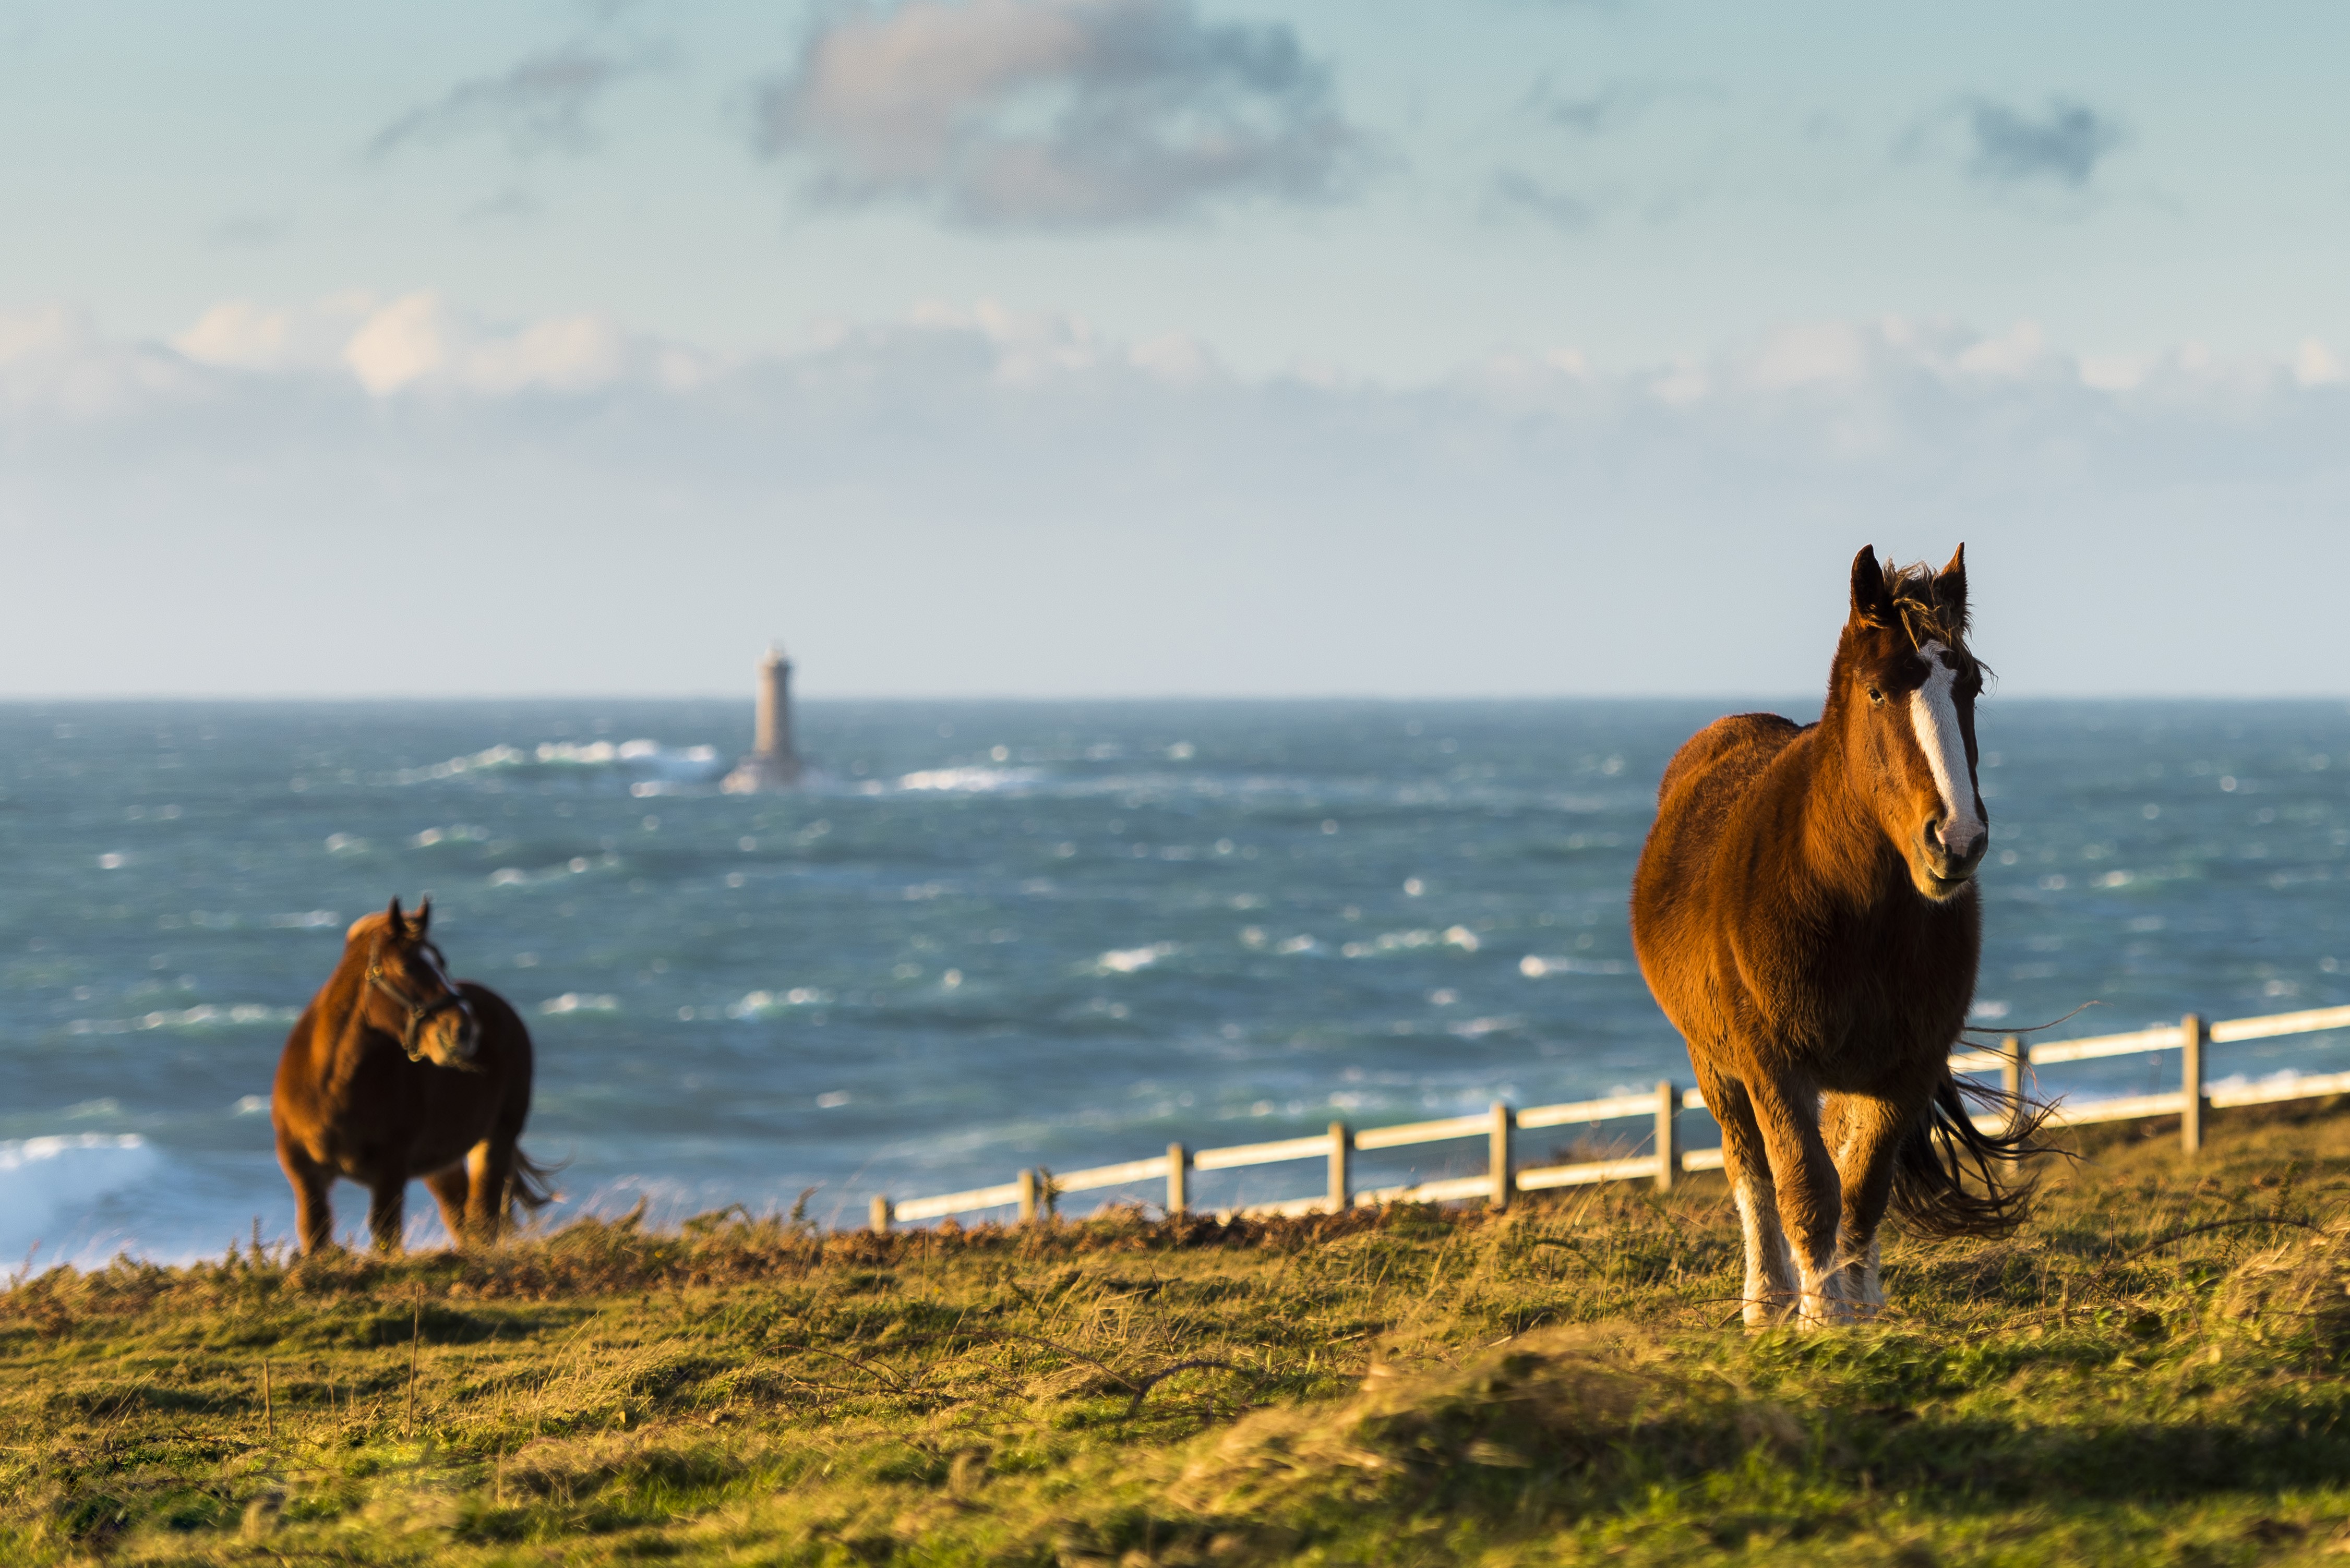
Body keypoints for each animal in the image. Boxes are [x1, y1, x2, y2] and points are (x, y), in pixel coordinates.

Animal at [271, 897, 554, 1253]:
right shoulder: (305, 1175)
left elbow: (387, 1236)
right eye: (406, 967)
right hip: (444, 1164)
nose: (464, 1032)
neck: (330, 1087)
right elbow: (316, 1237)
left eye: (442, 963)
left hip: (495, 1141)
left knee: (483, 1221)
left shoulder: (391, 1171)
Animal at [1629, 545, 2043, 1329]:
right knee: (1751, 1171)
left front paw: (1851, 1312)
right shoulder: (1772, 1067)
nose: (1957, 840)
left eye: (1970, 688)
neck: (1849, 909)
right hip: (1714, 1062)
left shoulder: (1905, 1070)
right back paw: (1767, 1298)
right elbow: (1803, 1186)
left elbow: (1863, 1188)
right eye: (1877, 693)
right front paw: (1818, 1319)